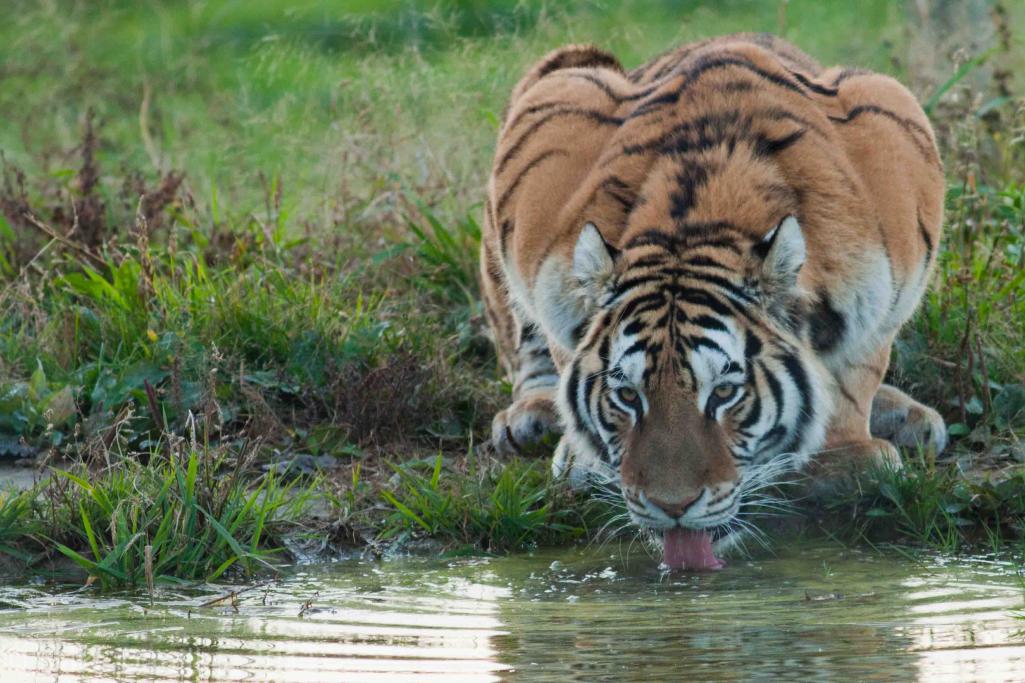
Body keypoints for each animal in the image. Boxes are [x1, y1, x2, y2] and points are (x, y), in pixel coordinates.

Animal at [478, 33, 947, 568]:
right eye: (627, 396)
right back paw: (530, 416)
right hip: (563, 79)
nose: (672, 506)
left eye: (724, 394)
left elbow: (859, 368)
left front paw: (846, 456)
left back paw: (908, 416)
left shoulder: (894, 138)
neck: (700, 219)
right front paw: (583, 456)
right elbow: (560, 346)